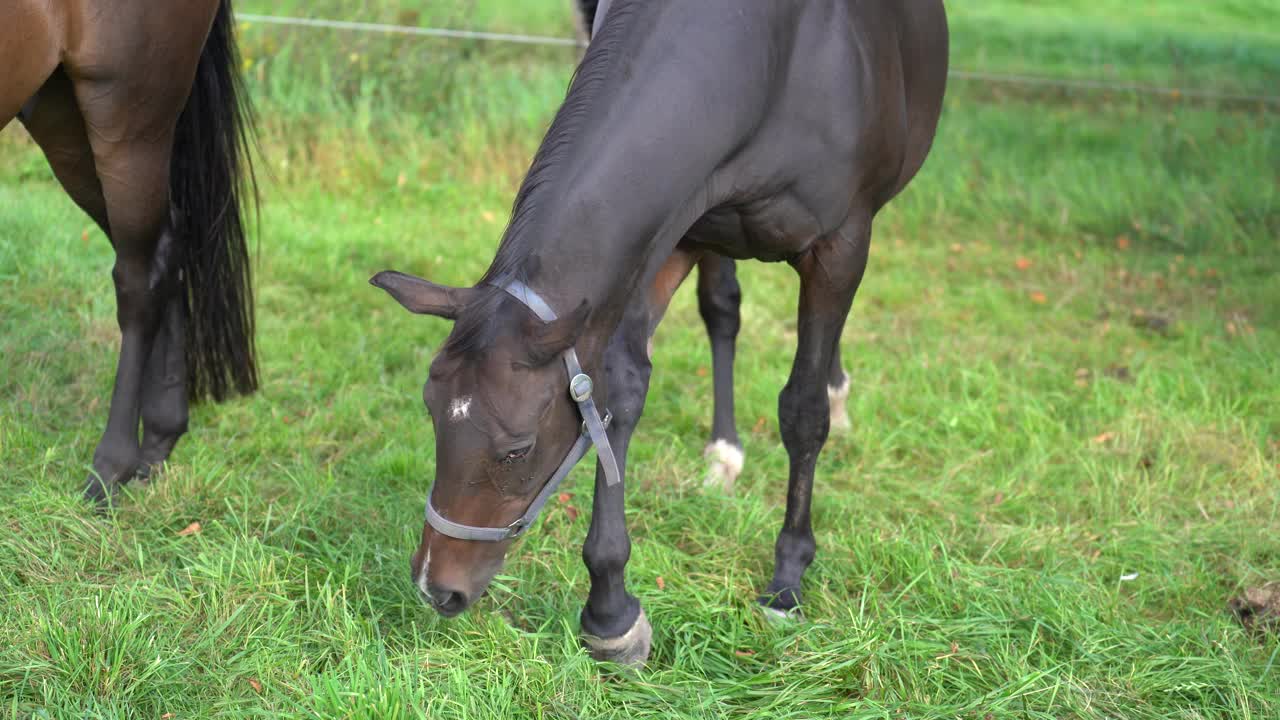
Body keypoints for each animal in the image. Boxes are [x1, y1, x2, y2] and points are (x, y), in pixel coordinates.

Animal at [1, 0, 257, 499]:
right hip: (61, 114)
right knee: (169, 246)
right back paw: (158, 441)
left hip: (129, 118)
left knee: (141, 279)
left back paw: (109, 470)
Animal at [373, 0, 947, 661]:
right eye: (432, 415)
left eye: (516, 448)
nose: (435, 587)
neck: (776, 56)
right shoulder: (673, 233)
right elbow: (619, 395)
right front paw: (611, 614)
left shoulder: (840, 245)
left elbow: (802, 410)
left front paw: (787, 581)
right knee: (723, 311)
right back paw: (724, 454)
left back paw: (834, 393)